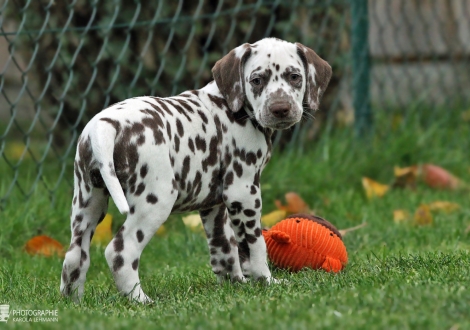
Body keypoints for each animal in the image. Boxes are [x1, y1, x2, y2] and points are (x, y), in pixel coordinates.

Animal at [60, 37, 332, 302]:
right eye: (257, 80)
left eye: (294, 76)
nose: (280, 108)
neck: (231, 105)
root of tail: (105, 126)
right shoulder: (244, 193)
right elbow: (253, 246)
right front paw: (265, 281)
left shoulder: (214, 205)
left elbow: (225, 249)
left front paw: (235, 284)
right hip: (155, 202)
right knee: (120, 251)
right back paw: (140, 299)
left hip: (88, 204)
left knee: (75, 256)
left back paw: (73, 302)